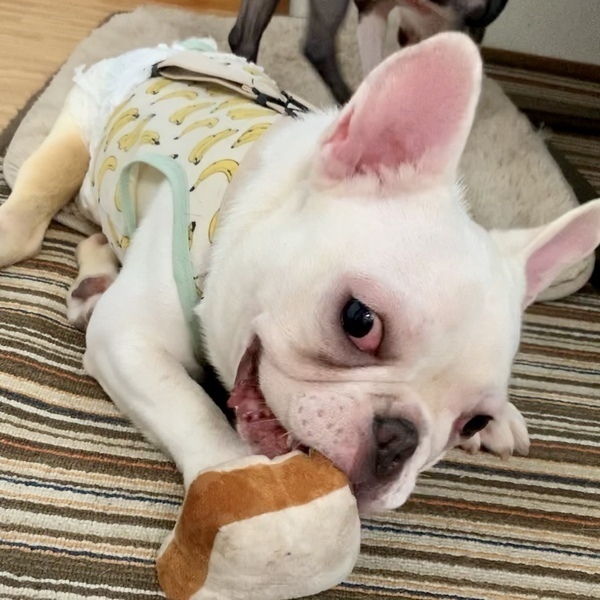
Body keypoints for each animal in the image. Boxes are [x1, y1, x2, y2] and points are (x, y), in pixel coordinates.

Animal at [1, 33, 599, 515]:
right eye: (359, 320)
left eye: (469, 422)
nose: (399, 439)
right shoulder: (127, 340)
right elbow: (193, 409)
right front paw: (242, 484)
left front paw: (505, 418)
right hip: (76, 135)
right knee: (41, 199)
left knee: (96, 235)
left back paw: (93, 283)